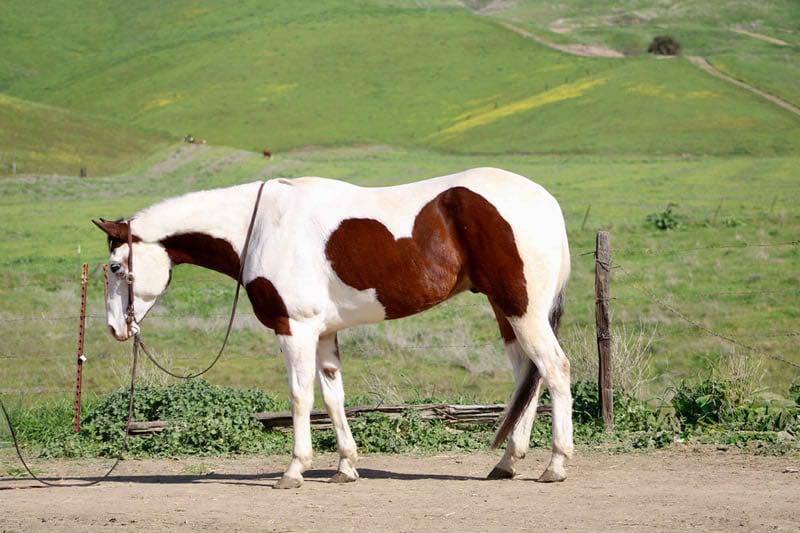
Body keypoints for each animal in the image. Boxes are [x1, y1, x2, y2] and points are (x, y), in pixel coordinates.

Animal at [93, 167, 573, 489]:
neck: (262, 227)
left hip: (524, 311)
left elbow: (300, 397)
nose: (116, 328)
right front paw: (345, 466)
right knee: (527, 375)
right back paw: (507, 463)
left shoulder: (295, 329)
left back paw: (555, 465)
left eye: (115, 267)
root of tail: (546, 201)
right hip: (507, 312)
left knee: (555, 370)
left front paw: (294, 470)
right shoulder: (322, 334)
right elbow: (332, 396)